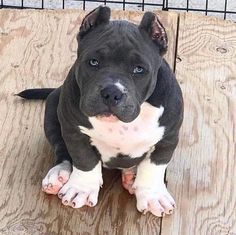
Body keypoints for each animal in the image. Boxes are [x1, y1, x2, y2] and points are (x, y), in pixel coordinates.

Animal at [18, 5, 184, 218]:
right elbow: (84, 160)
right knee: (62, 150)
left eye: (139, 69)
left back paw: (132, 175)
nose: (112, 92)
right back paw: (59, 174)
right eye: (94, 62)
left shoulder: (167, 138)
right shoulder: (74, 131)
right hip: (53, 108)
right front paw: (81, 188)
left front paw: (153, 195)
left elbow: (153, 167)